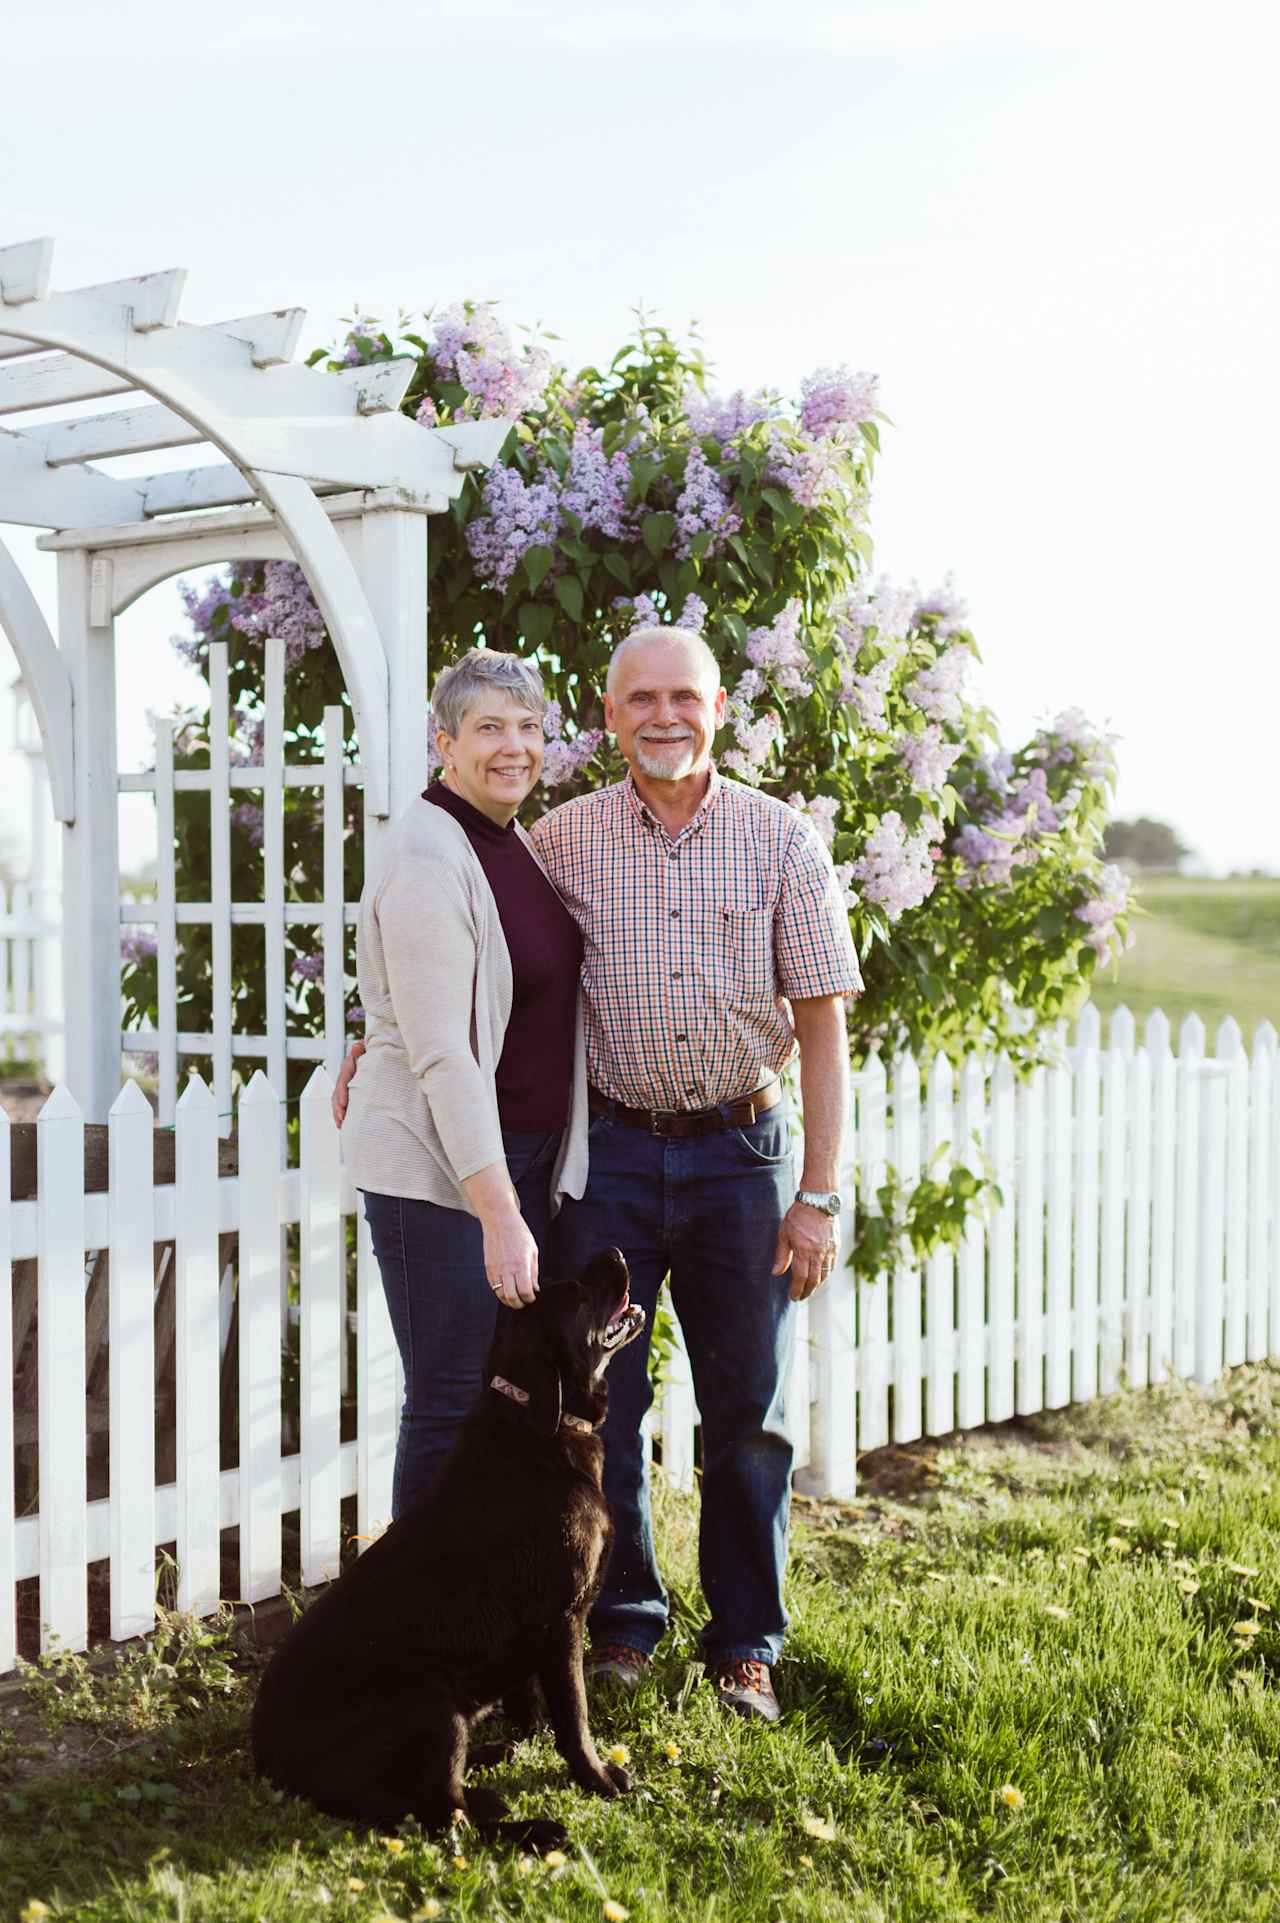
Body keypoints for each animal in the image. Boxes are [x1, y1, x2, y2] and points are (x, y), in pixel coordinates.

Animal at [249, 1238, 641, 1838]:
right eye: (576, 1294)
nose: (617, 1251)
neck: (536, 1426)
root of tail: (267, 1761)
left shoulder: (533, 1630)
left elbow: (530, 1699)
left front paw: (531, 1735)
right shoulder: (562, 1621)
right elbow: (574, 1717)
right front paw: (596, 1777)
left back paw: (493, 1759)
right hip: (434, 1705)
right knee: (446, 1817)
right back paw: (533, 1828)